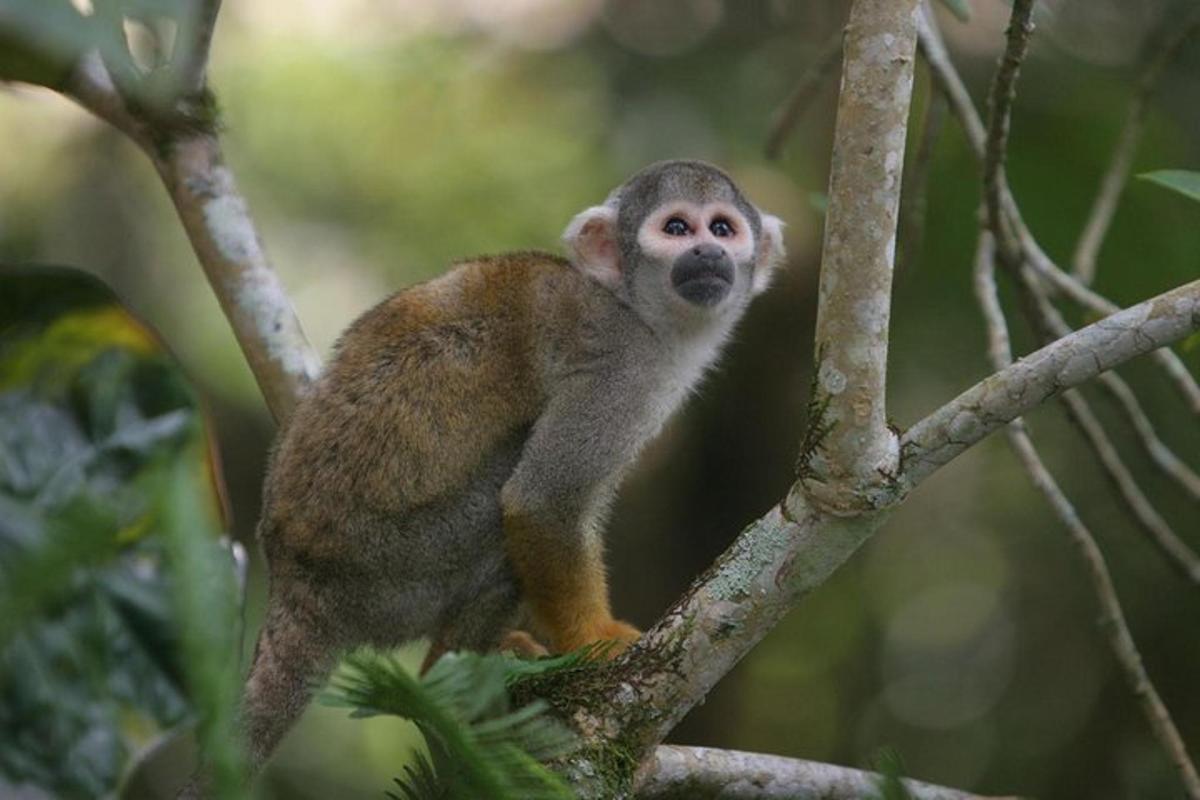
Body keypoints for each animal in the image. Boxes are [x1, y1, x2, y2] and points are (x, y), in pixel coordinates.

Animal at [190, 158, 782, 786]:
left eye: (722, 229)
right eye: (675, 229)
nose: (707, 253)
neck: (633, 308)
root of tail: (295, 584)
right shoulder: (620, 371)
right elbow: (541, 501)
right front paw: (596, 641)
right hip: (394, 566)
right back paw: (445, 686)